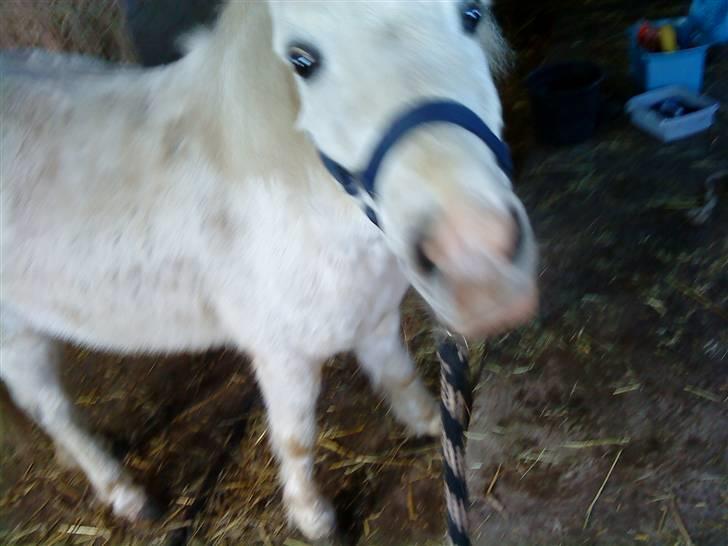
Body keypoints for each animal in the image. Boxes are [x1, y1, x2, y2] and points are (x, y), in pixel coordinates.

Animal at [0, 1, 538, 540]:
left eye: (472, 14)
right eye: (301, 59)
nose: (474, 255)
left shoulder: (374, 314)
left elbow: (398, 376)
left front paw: (431, 424)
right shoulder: (282, 354)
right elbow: (295, 437)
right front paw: (313, 518)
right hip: (15, 340)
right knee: (51, 408)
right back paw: (124, 494)